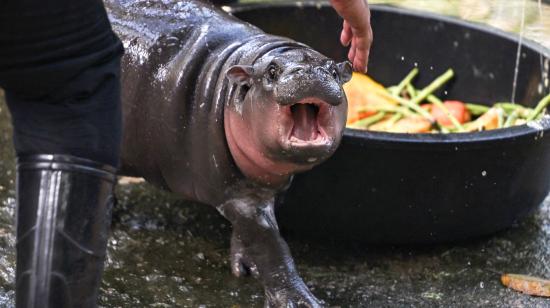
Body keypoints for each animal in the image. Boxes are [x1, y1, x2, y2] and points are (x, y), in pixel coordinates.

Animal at [105, 0, 352, 306]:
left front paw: (245, 266)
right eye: (272, 72)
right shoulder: (235, 195)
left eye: (333, 71)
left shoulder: (266, 188)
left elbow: (250, 234)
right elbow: (270, 246)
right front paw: (301, 300)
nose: (309, 73)